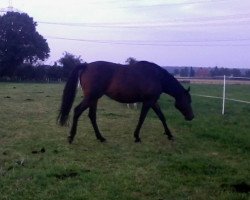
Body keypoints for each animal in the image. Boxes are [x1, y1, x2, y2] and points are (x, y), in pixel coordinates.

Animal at [57, 60, 194, 143]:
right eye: (188, 100)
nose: (191, 116)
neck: (157, 76)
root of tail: (87, 65)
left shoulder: (153, 101)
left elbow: (162, 117)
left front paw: (169, 134)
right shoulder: (148, 101)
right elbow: (142, 118)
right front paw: (137, 136)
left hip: (94, 99)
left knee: (92, 116)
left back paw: (100, 138)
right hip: (91, 97)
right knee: (77, 111)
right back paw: (71, 137)